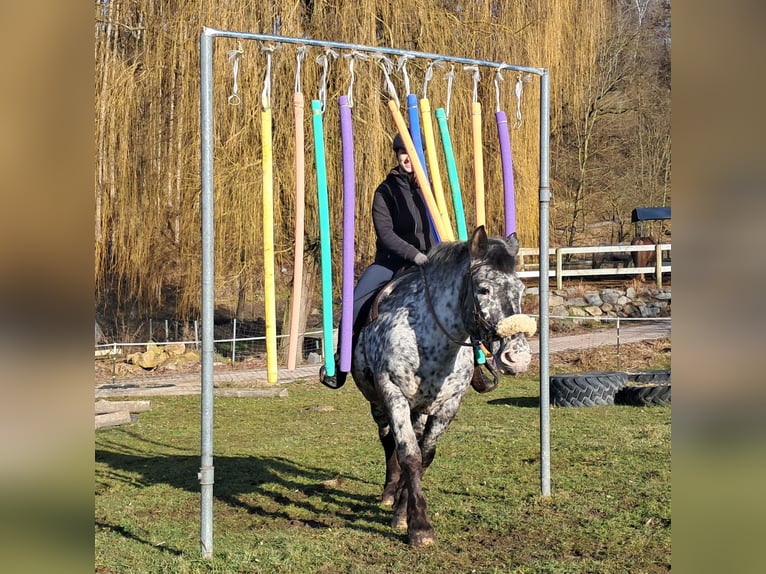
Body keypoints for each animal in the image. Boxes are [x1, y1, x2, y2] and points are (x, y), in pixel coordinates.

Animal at [352, 226, 536, 548]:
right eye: (484, 289)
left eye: (521, 290)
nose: (518, 357)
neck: (428, 338)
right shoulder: (393, 394)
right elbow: (409, 454)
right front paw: (419, 527)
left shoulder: (448, 405)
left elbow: (425, 455)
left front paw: (403, 513)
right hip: (377, 402)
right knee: (388, 441)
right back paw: (388, 492)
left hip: (419, 409)